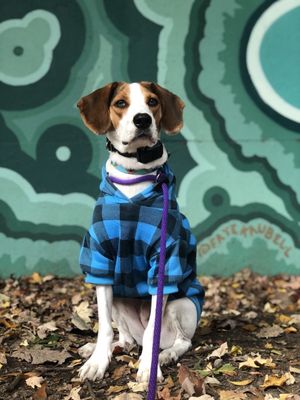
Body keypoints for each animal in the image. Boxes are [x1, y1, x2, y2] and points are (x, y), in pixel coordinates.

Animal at [76, 82, 205, 384]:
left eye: (153, 102)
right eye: (121, 103)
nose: (142, 119)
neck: (135, 175)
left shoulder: (164, 263)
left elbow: (151, 333)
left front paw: (149, 366)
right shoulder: (100, 259)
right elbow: (104, 328)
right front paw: (97, 361)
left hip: (180, 306)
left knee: (178, 340)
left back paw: (166, 355)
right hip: (120, 303)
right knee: (127, 338)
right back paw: (110, 347)